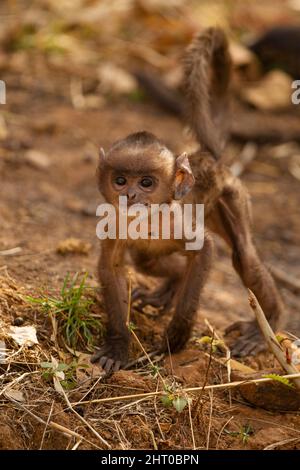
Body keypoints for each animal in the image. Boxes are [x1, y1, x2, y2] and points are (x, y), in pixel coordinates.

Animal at [92, 27, 284, 372]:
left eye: (146, 182)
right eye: (120, 180)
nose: (130, 195)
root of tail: (206, 156)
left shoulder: (183, 224)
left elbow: (204, 249)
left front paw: (176, 338)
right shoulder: (113, 224)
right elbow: (111, 267)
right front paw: (117, 345)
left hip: (230, 196)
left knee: (244, 256)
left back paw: (266, 326)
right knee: (146, 259)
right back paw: (169, 288)